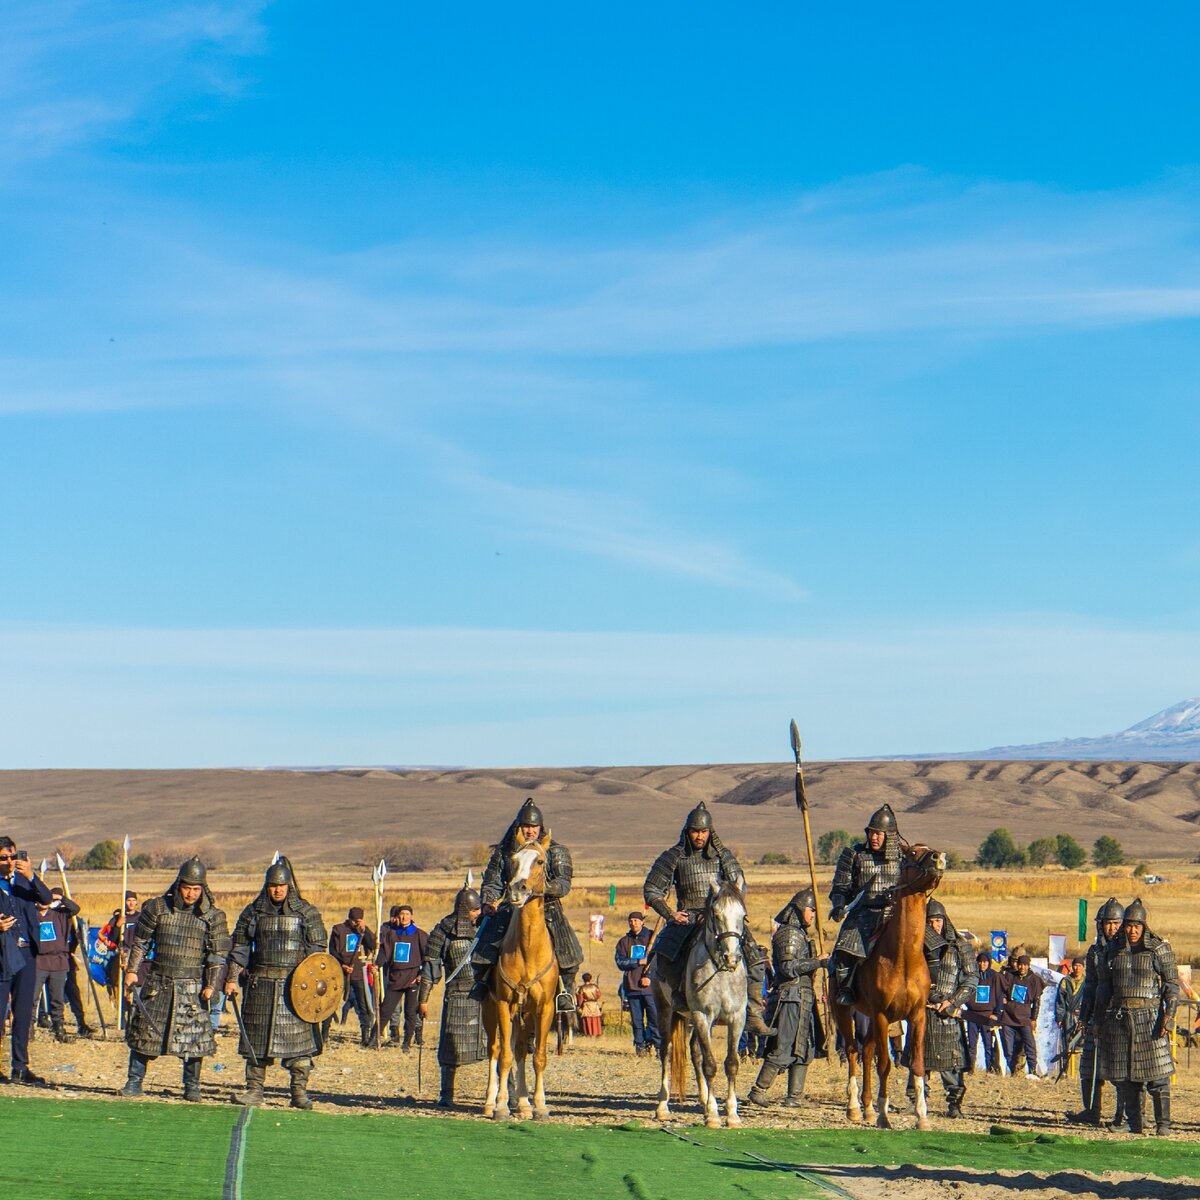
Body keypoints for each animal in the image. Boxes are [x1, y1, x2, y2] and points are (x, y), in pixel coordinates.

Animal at [480, 830, 559, 1118]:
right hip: (491, 1008)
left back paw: (524, 1105)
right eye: (513, 860)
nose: (517, 889)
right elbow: (503, 1057)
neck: (528, 949)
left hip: (525, 1014)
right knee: (495, 1049)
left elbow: (538, 1057)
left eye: (540, 861)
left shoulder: (544, 1008)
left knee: (521, 1050)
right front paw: (502, 1105)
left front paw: (539, 1105)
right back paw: (490, 1102)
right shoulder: (504, 1003)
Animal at [652, 878, 744, 1128]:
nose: (732, 958)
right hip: (665, 1010)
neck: (720, 972)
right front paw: (713, 1115)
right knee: (667, 1052)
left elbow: (731, 1063)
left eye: (742, 915)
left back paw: (703, 1100)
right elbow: (710, 1065)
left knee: (695, 1052)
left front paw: (732, 1114)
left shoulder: (737, 1019)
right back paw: (663, 1107)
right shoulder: (703, 1016)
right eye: (716, 914)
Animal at [830, 840, 940, 1128]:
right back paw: (855, 1107)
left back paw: (867, 1107)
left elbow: (917, 1064)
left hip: (871, 1017)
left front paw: (921, 1116)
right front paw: (883, 1115)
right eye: (912, 852)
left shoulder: (917, 1016)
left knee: (867, 1051)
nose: (939, 857)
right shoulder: (881, 1015)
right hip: (844, 1011)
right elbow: (885, 1065)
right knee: (853, 1051)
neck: (902, 957)